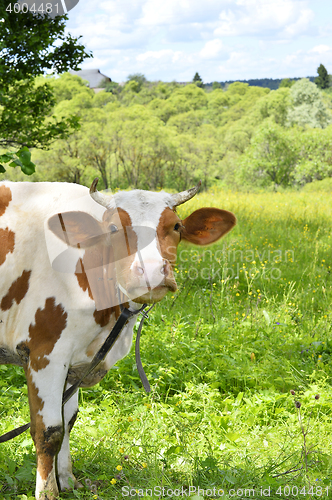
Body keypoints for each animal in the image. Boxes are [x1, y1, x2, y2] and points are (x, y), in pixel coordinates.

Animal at [0, 178, 236, 498]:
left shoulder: (76, 360)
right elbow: (49, 431)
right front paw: (48, 492)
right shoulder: (44, 353)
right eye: (113, 228)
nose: (151, 272)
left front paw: (68, 481)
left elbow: (68, 420)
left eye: (176, 226)